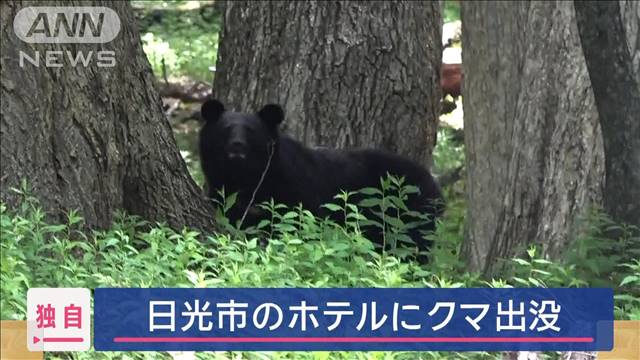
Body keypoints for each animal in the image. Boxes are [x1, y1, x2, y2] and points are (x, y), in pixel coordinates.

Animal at [200, 98, 444, 262]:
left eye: (251, 131)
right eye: (226, 129)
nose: (237, 146)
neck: (246, 177)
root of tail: (435, 186)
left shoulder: (295, 190)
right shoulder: (222, 191)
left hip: (409, 215)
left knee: (412, 246)